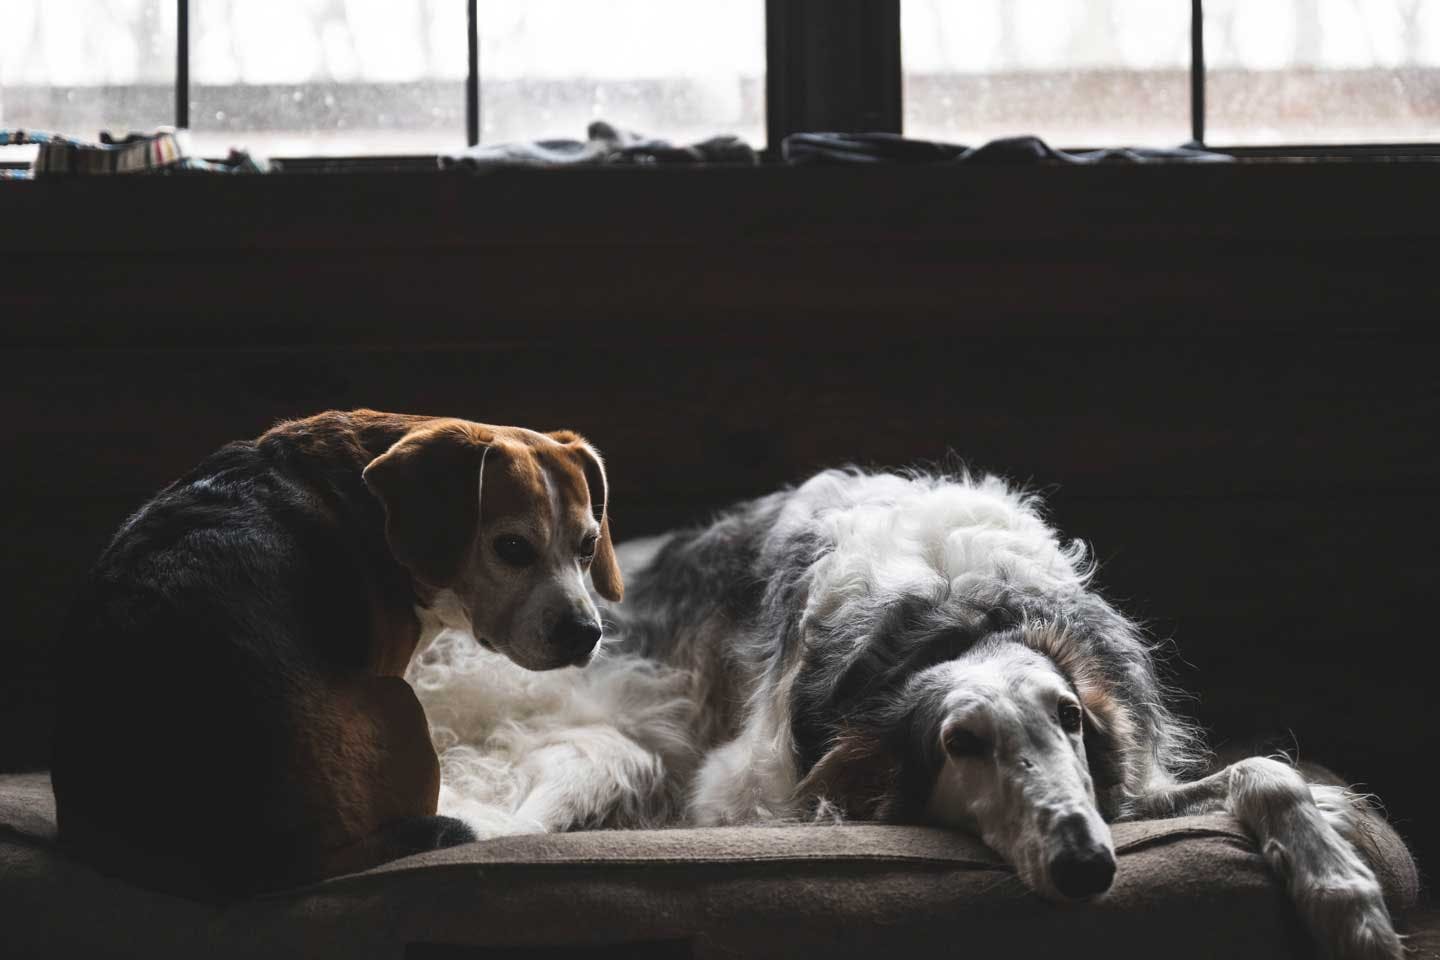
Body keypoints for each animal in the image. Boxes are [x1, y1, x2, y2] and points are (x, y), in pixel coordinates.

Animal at [411, 469, 1411, 955]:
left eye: (1070, 719)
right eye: (961, 743)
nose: (1087, 865)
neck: (958, 619)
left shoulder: (1122, 782)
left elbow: (1267, 771)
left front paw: (1347, 899)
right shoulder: (743, 795)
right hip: (610, 742)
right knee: (506, 815)